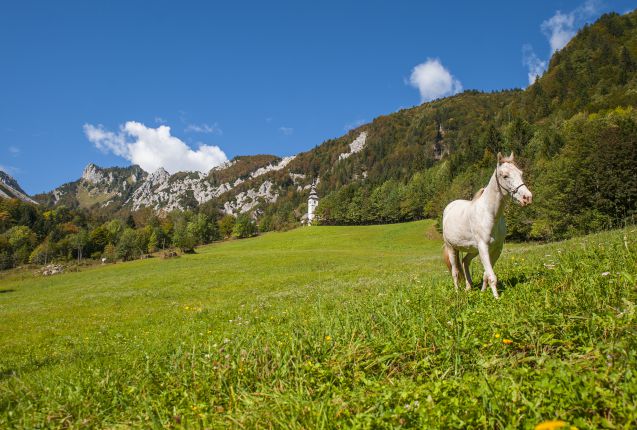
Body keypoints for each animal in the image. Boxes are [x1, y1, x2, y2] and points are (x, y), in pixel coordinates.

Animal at [440, 153, 528, 298]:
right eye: (505, 176)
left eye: (520, 173)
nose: (527, 197)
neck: (489, 214)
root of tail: (449, 208)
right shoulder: (483, 247)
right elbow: (492, 276)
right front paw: (497, 298)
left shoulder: (496, 249)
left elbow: (487, 274)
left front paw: (483, 292)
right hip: (452, 248)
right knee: (455, 271)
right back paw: (458, 292)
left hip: (473, 250)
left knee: (465, 262)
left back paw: (469, 287)